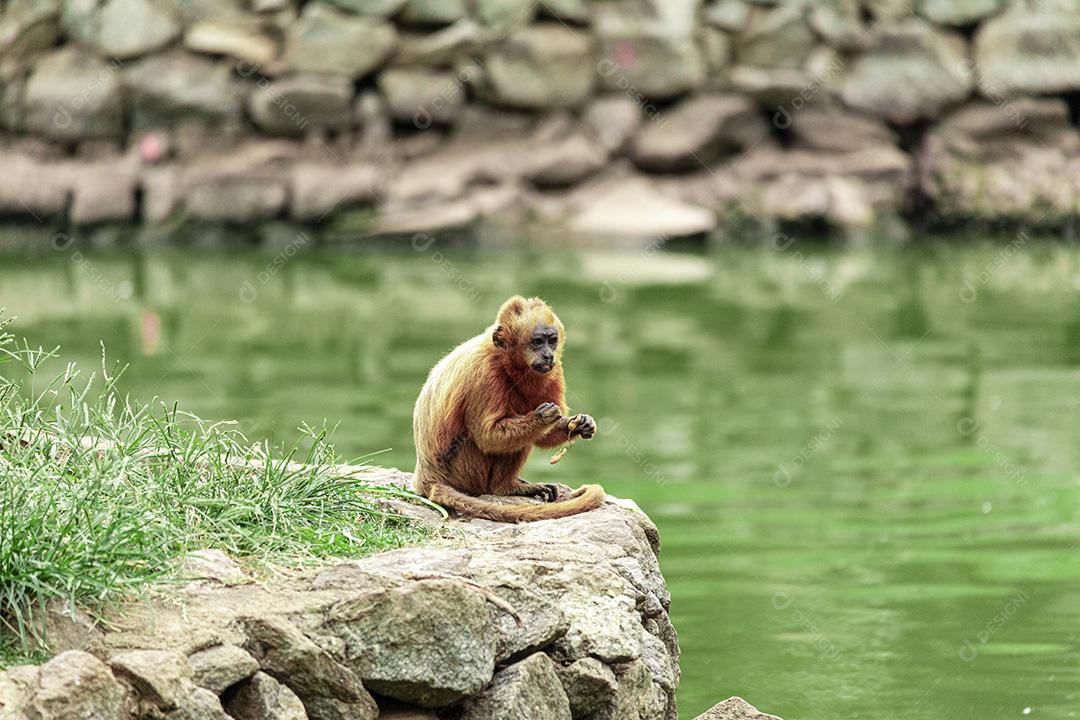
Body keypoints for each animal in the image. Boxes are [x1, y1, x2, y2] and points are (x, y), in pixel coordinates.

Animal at [412, 296, 604, 522]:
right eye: (537, 342)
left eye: (552, 340)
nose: (548, 355)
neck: (507, 361)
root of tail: (426, 474)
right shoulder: (484, 373)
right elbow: (487, 437)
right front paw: (542, 418)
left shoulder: (554, 370)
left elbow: (544, 436)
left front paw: (581, 424)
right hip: (463, 473)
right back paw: (505, 488)